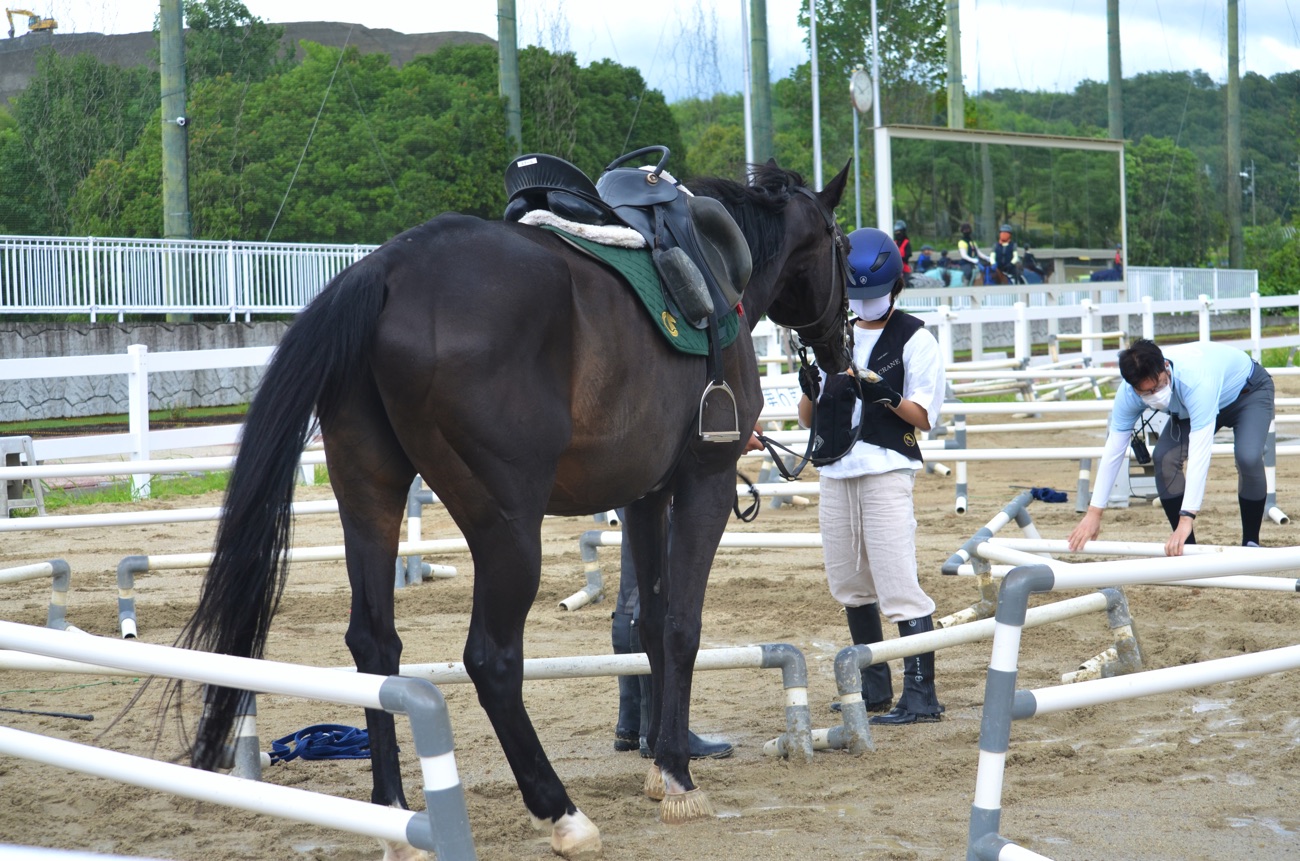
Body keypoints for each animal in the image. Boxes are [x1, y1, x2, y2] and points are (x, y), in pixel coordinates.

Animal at [180, 158, 852, 858]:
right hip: (507, 529)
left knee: (375, 644)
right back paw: (560, 811)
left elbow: (648, 625)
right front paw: (676, 775)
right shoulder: (706, 483)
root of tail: (387, 268)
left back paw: (394, 813)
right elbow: (680, 627)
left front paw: (660, 764)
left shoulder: (645, 497)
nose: (841, 345)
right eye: (842, 245)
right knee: (491, 660)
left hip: (368, 498)